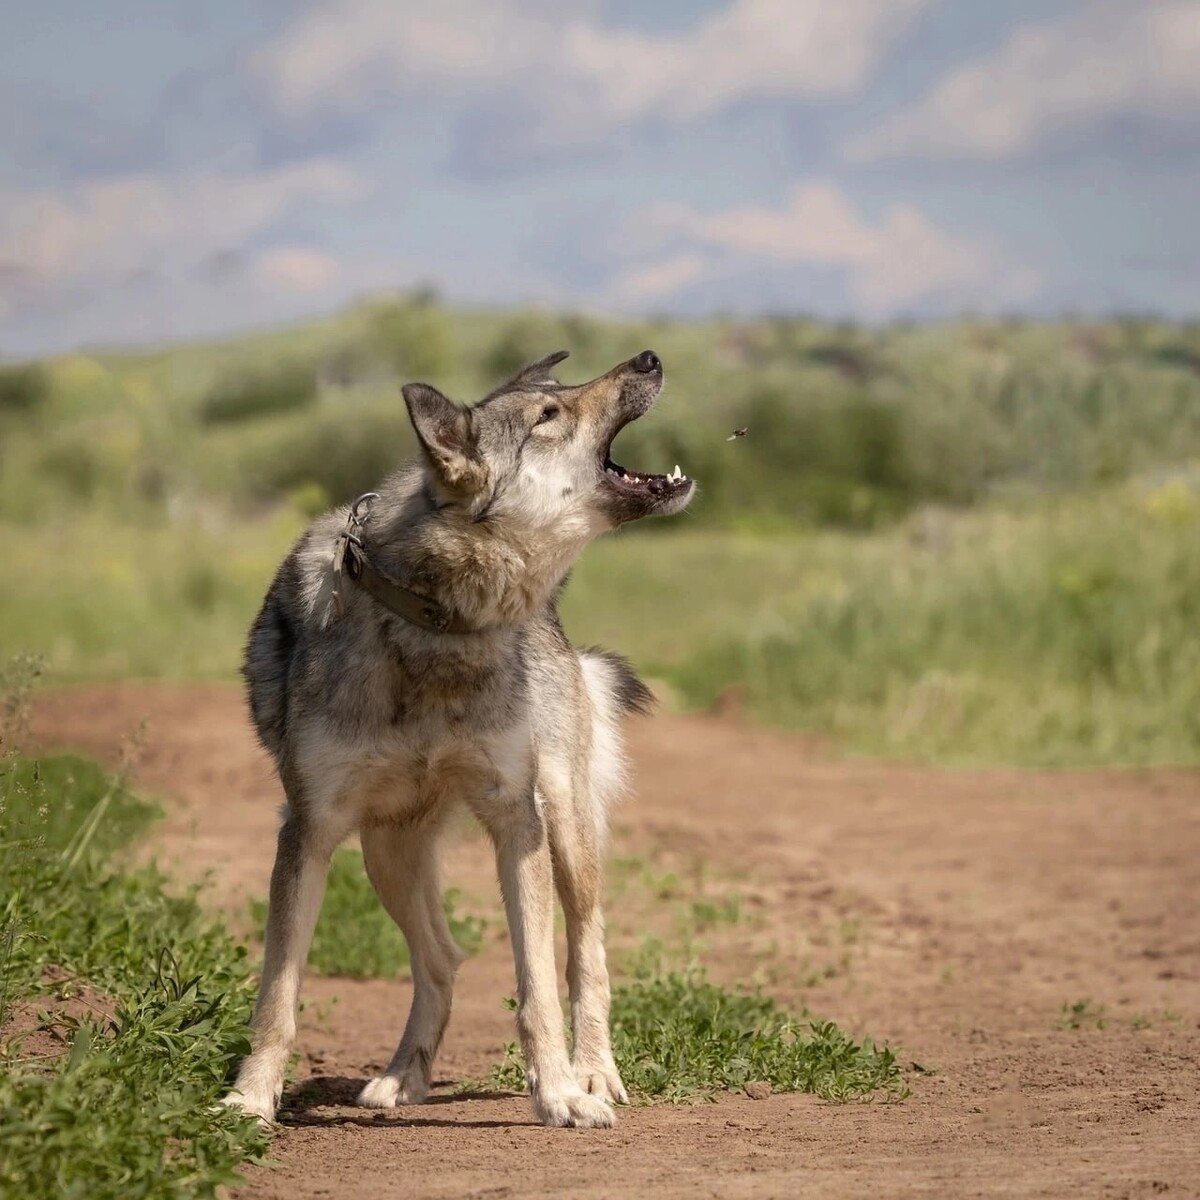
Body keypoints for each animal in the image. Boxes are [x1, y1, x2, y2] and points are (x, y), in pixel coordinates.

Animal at [223, 350, 696, 1128]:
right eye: (548, 414)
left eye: (558, 395)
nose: (650, 358)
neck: (436, 620)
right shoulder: (309, 832)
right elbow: (278, 996)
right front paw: (250, 1101)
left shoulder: (517, 819)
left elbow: (538, 990)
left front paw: (559, 1095)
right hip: (386, 853)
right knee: (443, 958)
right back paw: (402, 1078)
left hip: (565, 831)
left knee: (585, 954)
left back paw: (595, 1075)